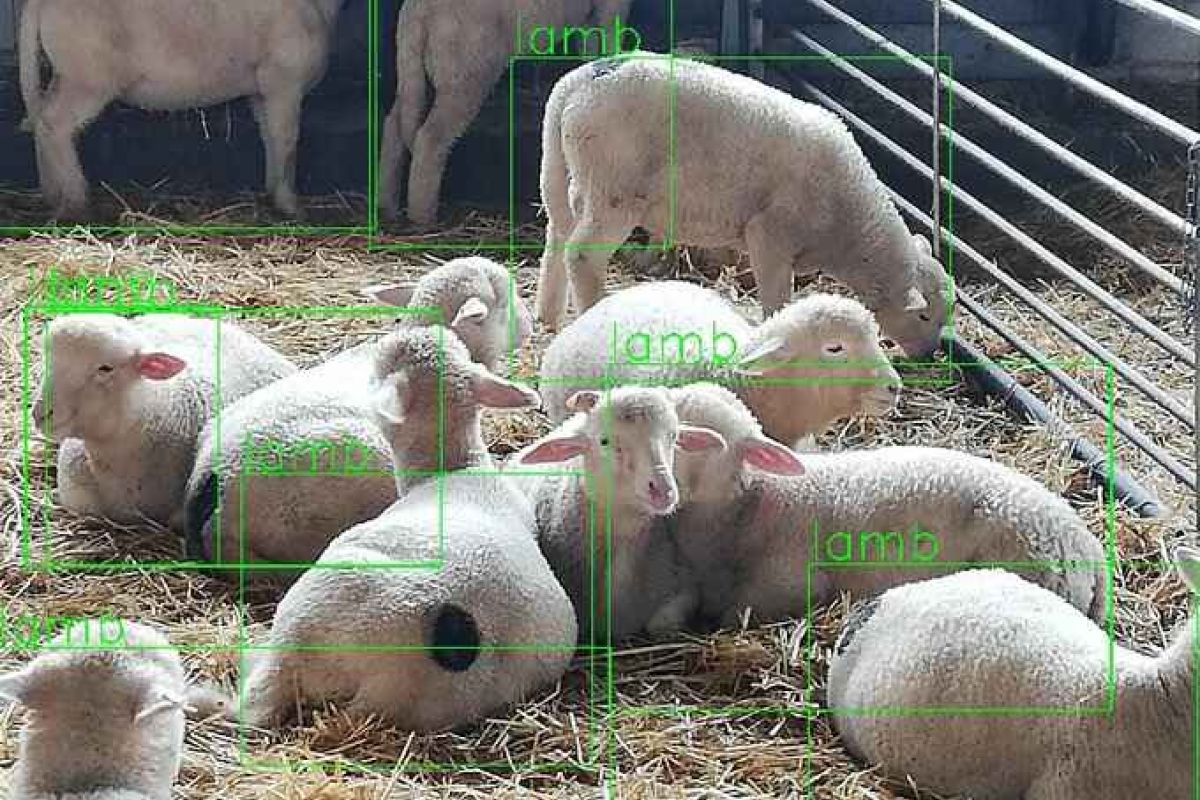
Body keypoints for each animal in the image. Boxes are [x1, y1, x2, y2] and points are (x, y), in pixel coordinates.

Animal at [18, 0, 345, 218]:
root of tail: (41, 3)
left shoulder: (261, 90)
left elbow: (271, 139)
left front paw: (272, 192)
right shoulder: (283, 80)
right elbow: (288, 141)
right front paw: (291, 205)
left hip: (68, 73)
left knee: (40, 117)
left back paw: (53, 193)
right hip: (88, 76)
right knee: (54, 123)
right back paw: (77, 201)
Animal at [378, 0, 634, 225]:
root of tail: (416, 12)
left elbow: (591, 47)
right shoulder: (611, 6)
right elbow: (609, 35)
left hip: (418, 74)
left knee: (395, 125)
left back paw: (388, 206)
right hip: (467, 73)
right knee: (430, 138)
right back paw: (423, 218)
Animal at [534, 54, 948, 356]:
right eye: (925, 317)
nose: (929, 356)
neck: (849, 227)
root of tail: (578, 84)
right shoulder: (770, 233)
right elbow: (777, 299)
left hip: (561, 169)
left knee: (557, 236)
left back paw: (549, 316)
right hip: (614, 187)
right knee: (582, 254)